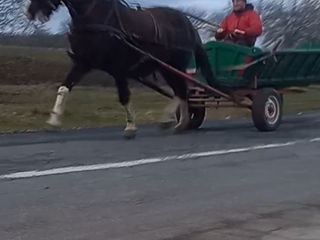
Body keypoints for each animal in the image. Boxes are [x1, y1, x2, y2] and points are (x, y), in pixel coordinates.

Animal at [27, 0, 215, 138]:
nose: (31, 12)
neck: (97, 18)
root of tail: (188, 24)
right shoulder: (83, 63)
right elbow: (64, 88)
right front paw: (53, 122)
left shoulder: (118, 68)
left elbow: (124, 96)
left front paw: (130, 127)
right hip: (165, 67)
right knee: (181, 92)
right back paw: (181, 123)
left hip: (174, 65)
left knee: (181, 90)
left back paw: (173, 121)